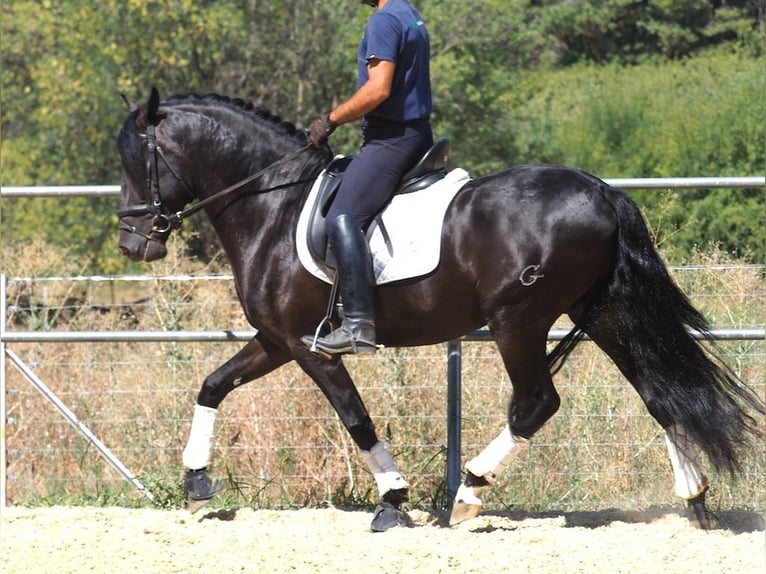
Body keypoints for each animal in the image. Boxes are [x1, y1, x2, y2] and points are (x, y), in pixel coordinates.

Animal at [117, 88, 764, 532]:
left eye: (133, 162)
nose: (133, 244)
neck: (273, 206)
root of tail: (601, 190)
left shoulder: (307, 346)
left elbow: (355, 418)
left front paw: (393, 500)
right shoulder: (277, 340)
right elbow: (213, 384)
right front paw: (196, 479)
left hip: (518, 320)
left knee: (536, 404)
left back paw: (469, 490)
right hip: (603, 313)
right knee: (659, 392)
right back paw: (695, 498)